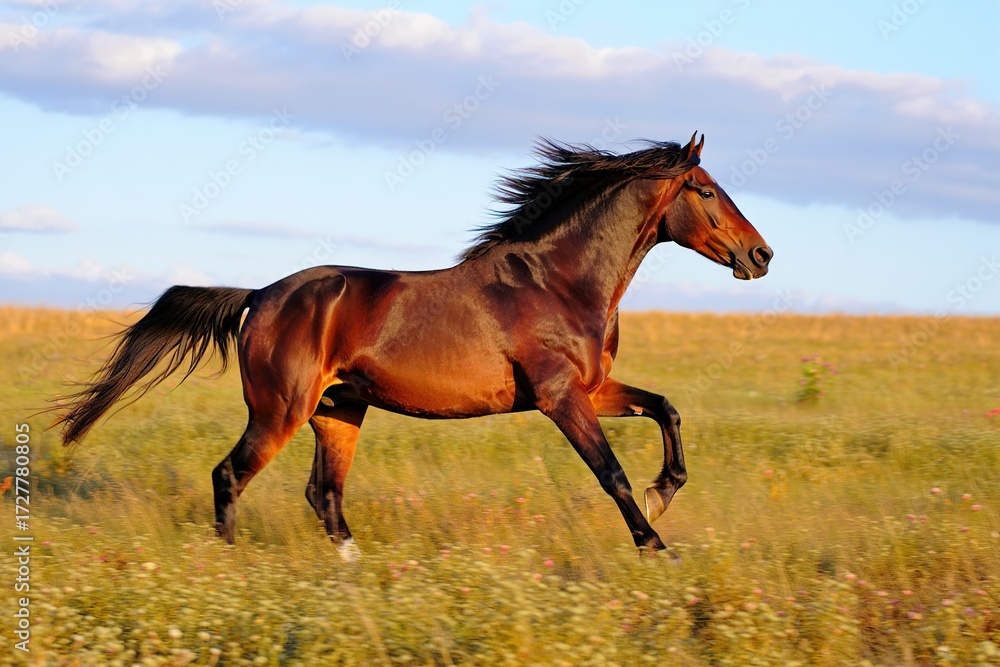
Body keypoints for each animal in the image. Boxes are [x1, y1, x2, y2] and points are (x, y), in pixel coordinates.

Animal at [56, 133, 772, 555]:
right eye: (706, 190)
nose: (761, 255)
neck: (558, 281)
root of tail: (260, 295)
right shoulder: (560, 396)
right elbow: (611, 472)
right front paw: (656, 545)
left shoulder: (592, 389)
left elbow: (666, 408)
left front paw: (664, 491)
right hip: (279, 411)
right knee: (232, 476)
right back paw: (229, 567)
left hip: (339, 410)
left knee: (324, 495)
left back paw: (352, 572)